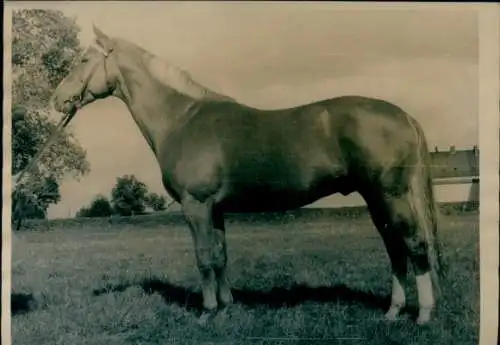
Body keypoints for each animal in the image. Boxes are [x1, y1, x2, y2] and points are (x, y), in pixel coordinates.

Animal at [51, 25, 446, 324]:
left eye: (83, 60)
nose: (57, 99)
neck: (181, 119)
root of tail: (403, 115)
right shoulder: (216, 209)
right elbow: (221, 254)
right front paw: (228, 305)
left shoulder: (196, 206)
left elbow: (204, 256)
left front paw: (208, 311)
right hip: (376, 198)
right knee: (395, 248)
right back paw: (393, 311)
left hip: (390, 195)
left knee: (413, 244)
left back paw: (423, 314)